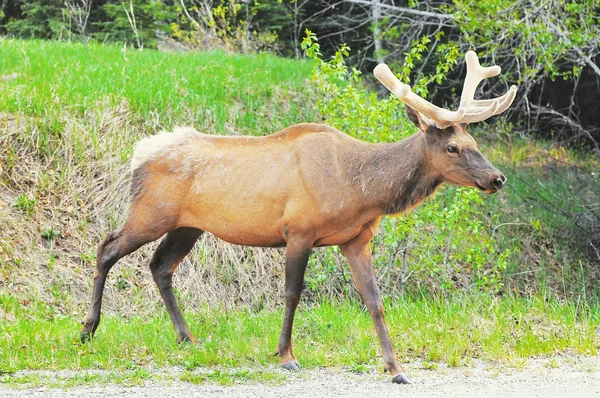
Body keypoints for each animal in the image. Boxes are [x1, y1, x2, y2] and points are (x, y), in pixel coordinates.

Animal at [81, 49, 516, 382]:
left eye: (474, 141)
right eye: (452, 148)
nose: (497, 178)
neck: (360, 191)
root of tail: (138, 153)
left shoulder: (356, 239)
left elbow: (374, 300)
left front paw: (396, 368)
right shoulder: (299, 231)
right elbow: (292, 293)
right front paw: (286, 355)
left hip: (188, 226)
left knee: (160, 266)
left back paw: (187, 337)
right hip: (149, 212)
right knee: (106, 247)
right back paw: (88, 330)